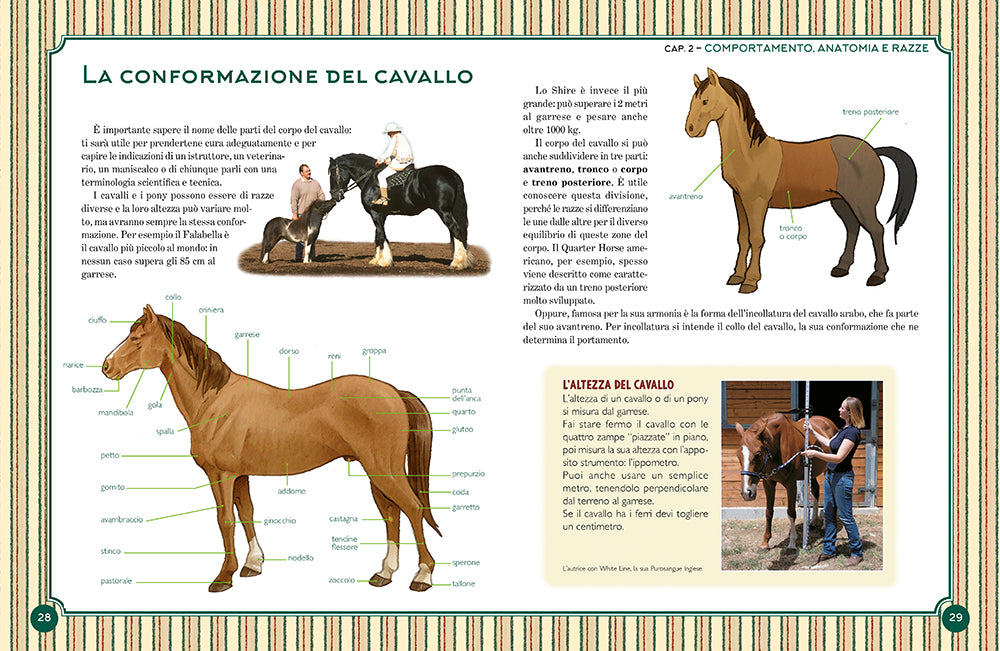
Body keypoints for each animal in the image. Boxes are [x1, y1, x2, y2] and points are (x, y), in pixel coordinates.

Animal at [102, 305, 442, 592]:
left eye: (136, 338)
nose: (106, 366)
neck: (214, 401)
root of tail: (394, 392)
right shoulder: (240, 475)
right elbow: (246, 513)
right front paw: (253, 564)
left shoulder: (221, 474)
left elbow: (225, 520)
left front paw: (224, 577)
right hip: (375, 472)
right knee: (392, 514)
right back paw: (384, 573)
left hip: (383, 470)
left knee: (413, 509)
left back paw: (422, 576)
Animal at [328, 153, 472, 270]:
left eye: (333, 174)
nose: (335, 196)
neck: (370, 179)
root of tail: (451, 174)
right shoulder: (381, 215)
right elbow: (377, 235)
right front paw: (376, 260)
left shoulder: (376, 214)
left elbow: (380, 235)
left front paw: (384, 261)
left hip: (444, 211)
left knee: (456, 229)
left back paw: (457, 263)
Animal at [685, 68, 917, 293]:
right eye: (693, 100)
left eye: (705, 101)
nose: (690, 129)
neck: (751, 153)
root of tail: (874, 151)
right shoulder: (740, 200)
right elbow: (743, 237)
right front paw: (736, 276)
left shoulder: (756, 202)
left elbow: (756, 239)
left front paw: (750, 282)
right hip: (841, 202)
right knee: (853, 228)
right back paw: (841, 268)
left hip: (862, 204)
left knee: (876, 230)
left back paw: (878, 275)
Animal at [734, 412, 836, 549]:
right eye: (738, 455)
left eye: (758, 454)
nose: (746, 493)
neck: (778, 446)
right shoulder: (769, 483)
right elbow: (769, 511)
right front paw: (765, 542)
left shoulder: (791, 484)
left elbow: (791, 512)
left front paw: (792, 542)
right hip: (812, 472)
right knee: (815, 490)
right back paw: (813, 521)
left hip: (827, 469)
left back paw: (825, 524)